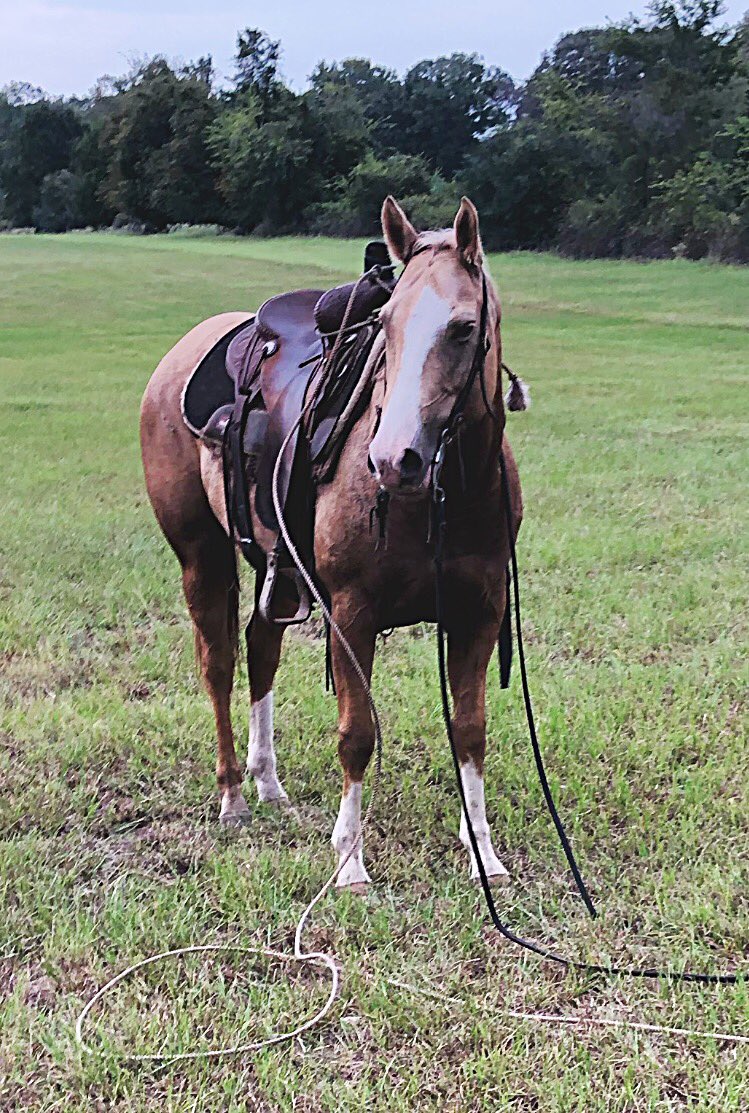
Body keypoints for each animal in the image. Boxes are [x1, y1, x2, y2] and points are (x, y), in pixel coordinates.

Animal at [140, 196, 522, 890]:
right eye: (387, 324)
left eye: (461, 329)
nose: (394, 459)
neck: (442, 496)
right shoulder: (352, 612)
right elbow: (356, 733)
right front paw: (349, 862)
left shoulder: (480, 610)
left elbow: (470, 728)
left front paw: (483, 851)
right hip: (202, 557)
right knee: (219, 665)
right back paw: (233, 795)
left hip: (278, 569)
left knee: (260, 647)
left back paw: (267, 784)